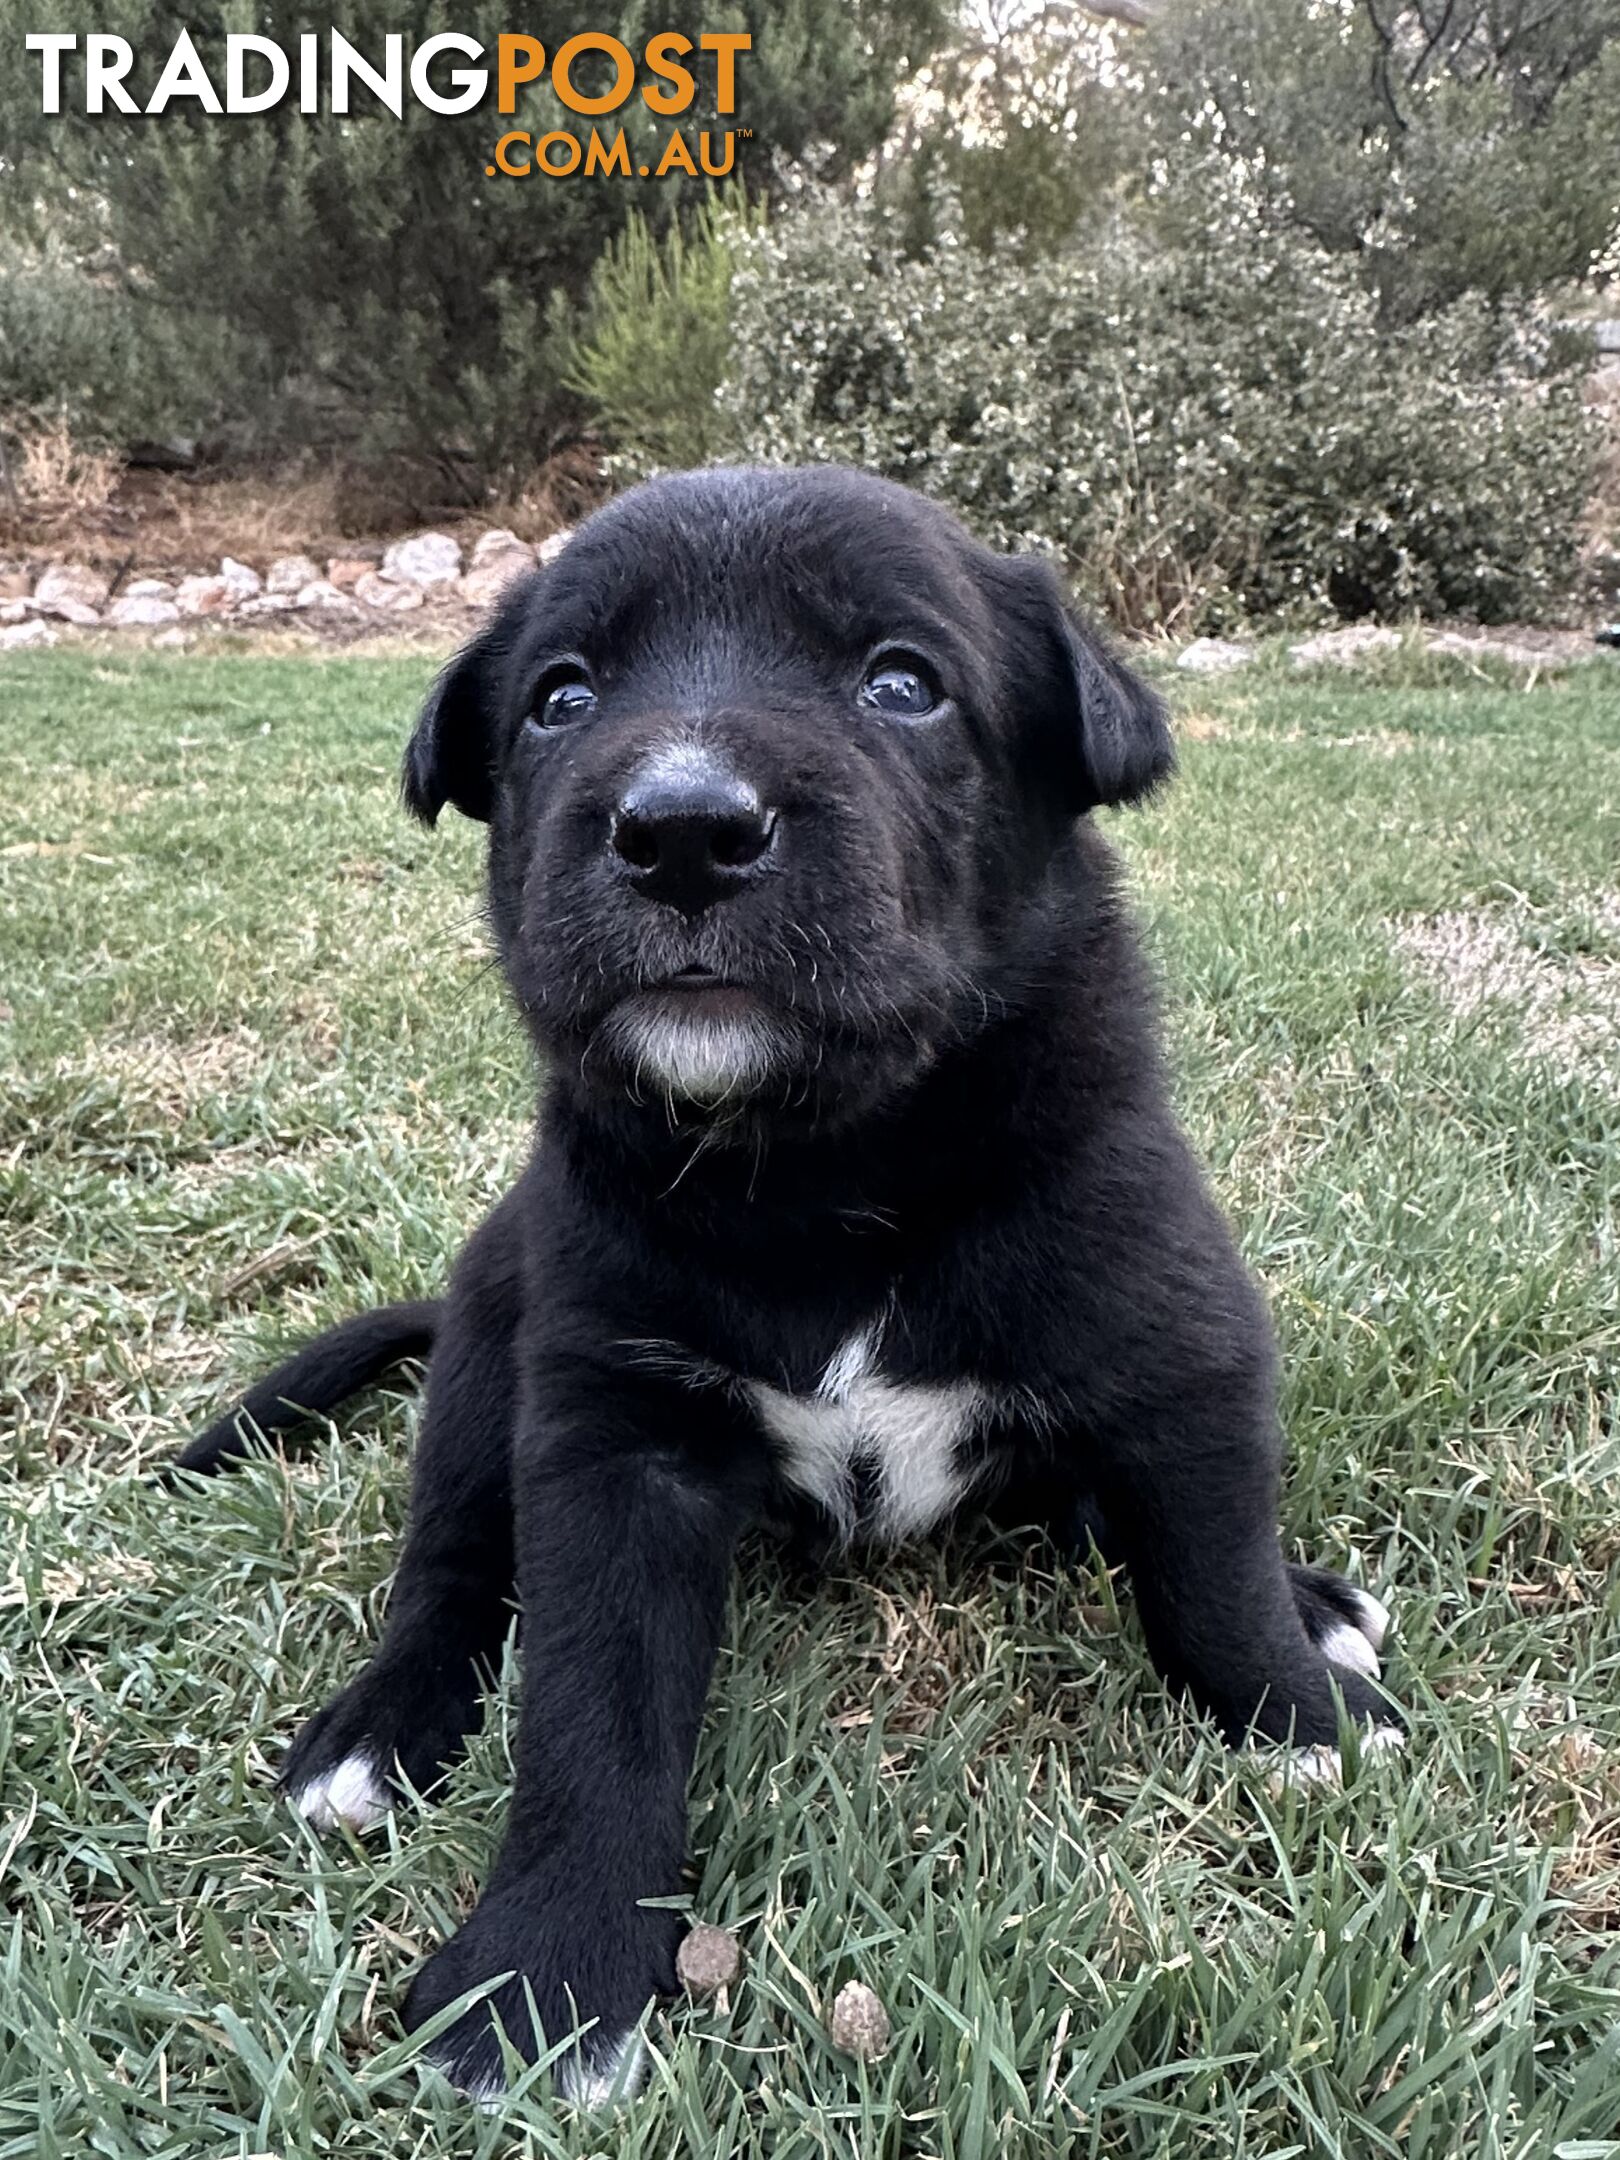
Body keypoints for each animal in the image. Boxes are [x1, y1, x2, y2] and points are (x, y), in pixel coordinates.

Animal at [174, 464, 1399, 2099]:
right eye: (561, 699)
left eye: (903, 683)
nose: (683, 830)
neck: (819, 1173)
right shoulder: (612, 1432)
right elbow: (591, 1713)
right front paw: (543, 1977)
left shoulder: (1179, 1334)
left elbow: (1212, 1568)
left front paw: (1303, 1715)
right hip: (493, 1337)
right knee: (447, 1570)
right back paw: (376, 1733)